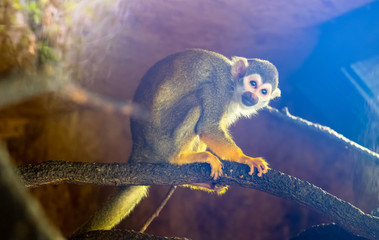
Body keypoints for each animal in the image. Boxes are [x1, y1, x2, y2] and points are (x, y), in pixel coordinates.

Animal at [77, 49, 280, 234]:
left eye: (263, 91)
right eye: (252, 83)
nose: (253, 97)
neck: (232, 88)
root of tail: (139, 148)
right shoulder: (218, 89)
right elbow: (208, 127)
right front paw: (245, 158)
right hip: (162, 141)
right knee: (197, 101)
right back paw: (179, 158)